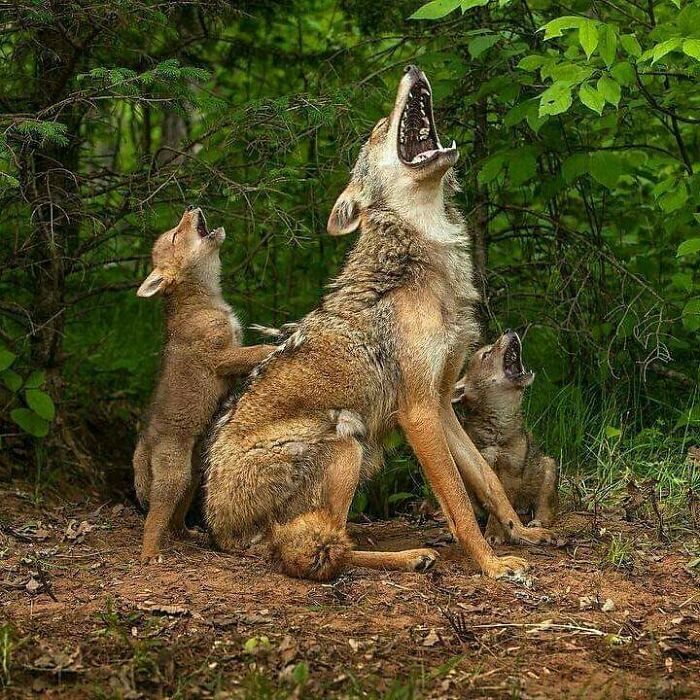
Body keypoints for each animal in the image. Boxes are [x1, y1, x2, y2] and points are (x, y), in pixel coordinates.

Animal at [133, 206, 276, 562]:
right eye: (175, 235)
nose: (192, 208)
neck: (205, 301)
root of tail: (145, 443)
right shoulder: (221, 357)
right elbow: (257, 351)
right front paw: (275, 345)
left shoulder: (231, 356)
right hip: (175, 476)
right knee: (154, 519)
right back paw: (150, 554)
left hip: (194, 475)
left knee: (175, 522)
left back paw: (188, 535)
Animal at [453, 331, 559, 544]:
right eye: (486, 354)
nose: (509, 331)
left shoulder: (510, 470)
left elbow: (499, 508)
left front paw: (494, 533)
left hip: (548, 468)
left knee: (545, 508)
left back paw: (537, 523)